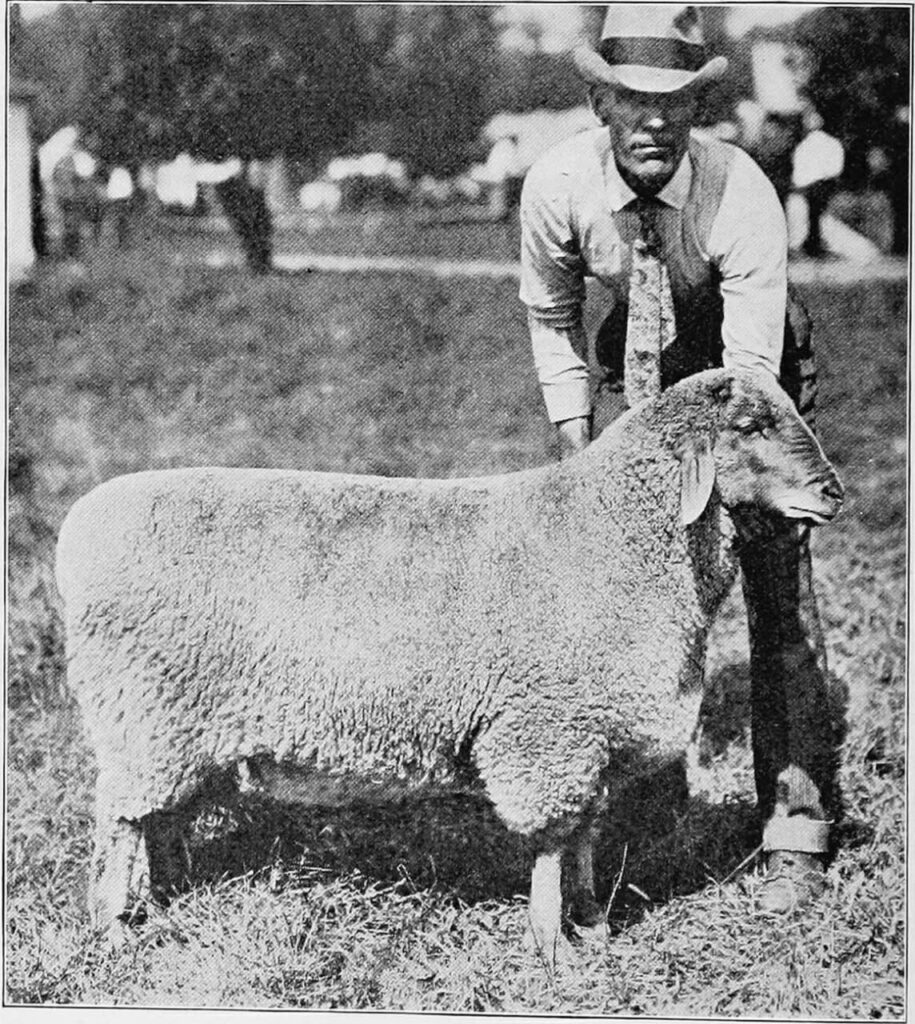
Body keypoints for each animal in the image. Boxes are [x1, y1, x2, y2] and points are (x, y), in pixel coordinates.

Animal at [55, 367, 843, 960]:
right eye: (751, 427)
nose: (832, 492)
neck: (619, 531)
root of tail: (77, 529)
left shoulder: (587, 734)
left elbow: (584, 832)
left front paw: (591, 923)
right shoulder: (546, 733)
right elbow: (552, 841)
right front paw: (550, 945)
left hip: (177, 727)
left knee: (157, 820)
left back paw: (165, 903)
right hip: (141, 716)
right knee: (119, 823)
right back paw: (117, 925)